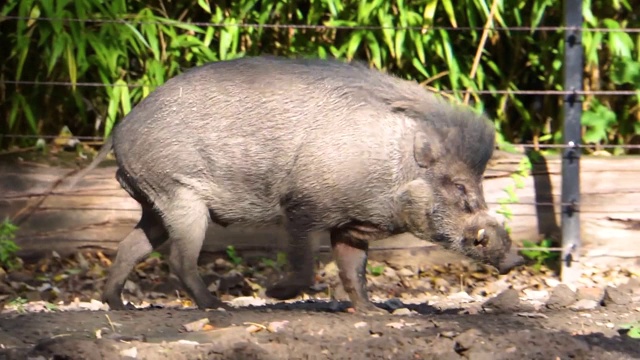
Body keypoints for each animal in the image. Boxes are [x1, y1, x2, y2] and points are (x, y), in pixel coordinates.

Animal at [67, 54, 524, 314]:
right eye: (458, 186)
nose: (515, 259)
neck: (390, 167)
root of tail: (120, 128)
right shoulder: (302, 207)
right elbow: (306, 266)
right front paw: (274, 294)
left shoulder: (351, 226)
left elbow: (353, 271)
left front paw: (376, 313)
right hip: (180, 198)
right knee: (179, 260)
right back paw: (218, 307)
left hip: (155, 204)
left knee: (131, 247)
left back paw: (121, 305)